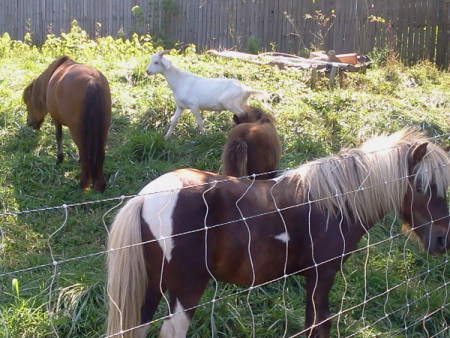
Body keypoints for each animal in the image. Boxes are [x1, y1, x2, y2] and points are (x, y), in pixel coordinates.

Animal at [22, 55, 111, 193]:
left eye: (27, 102)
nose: (30, 123)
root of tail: (92, 82)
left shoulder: (56, 119)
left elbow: (59, 136)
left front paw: (59, 158)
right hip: (103, 131)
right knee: (99, 154)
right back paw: (100, 186)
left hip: (77, 131)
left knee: (85, 152)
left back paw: (83, 184)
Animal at [106, 128, 450, 336]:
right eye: (422, 186)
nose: (442, 239)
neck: (334, 203)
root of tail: (145, 197)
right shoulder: (321, 277)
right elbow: (319, 326)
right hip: (186, 290)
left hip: (152, 287)